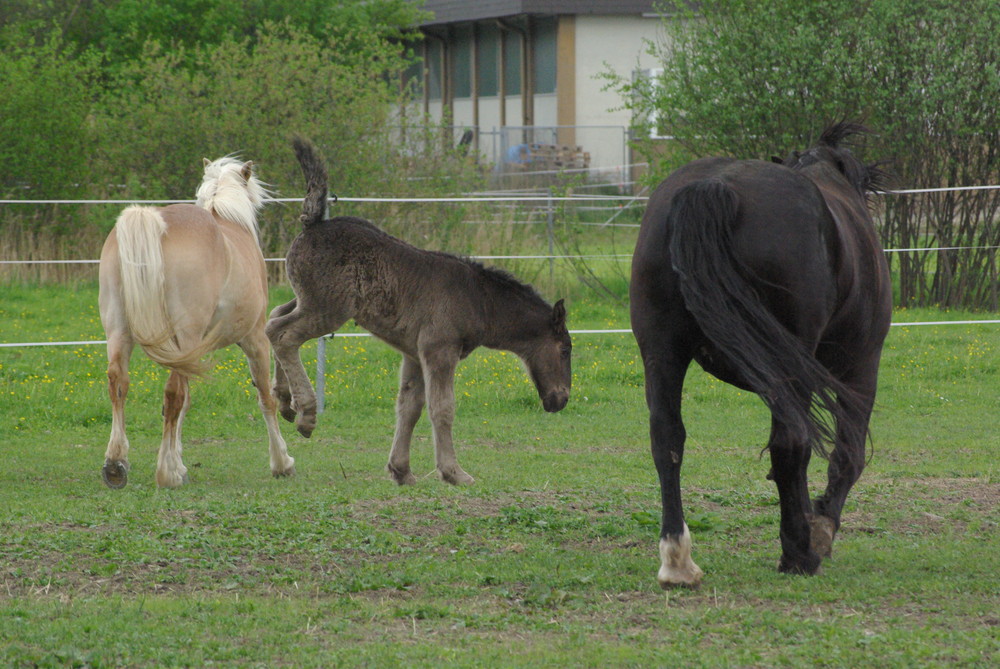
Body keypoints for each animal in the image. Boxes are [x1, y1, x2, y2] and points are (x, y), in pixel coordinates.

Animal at [98, 159, 296, 488]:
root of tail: (155, 223)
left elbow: (186, 403)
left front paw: (180, 462)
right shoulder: (255, 339)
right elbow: (265, 398)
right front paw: (282, 462)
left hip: (120, 332)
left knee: (119, 383)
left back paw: (116, 463)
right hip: (185, 339)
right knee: (172, 394)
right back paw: (165, 474)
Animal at [262, 140, 572, 486]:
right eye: (565, 350)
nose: (561, 399)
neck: (478, 300)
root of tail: (312, 223)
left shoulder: (414, 353)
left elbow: (409, 407)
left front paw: (401, 471)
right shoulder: (439, 350)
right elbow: (442, 408)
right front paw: (454, 472)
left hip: (308, 299)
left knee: (275, 317)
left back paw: (284, 400)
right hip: (328, 308)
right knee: (283, 334)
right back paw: (306, 414)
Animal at [632, 124, 892, 584]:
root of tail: (713, 187)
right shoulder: (862, 369)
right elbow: (847, 455)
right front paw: (819, 527)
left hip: (662, 352)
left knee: (667, 440)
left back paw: (677, 560)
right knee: (791, 442)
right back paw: (798, 554)